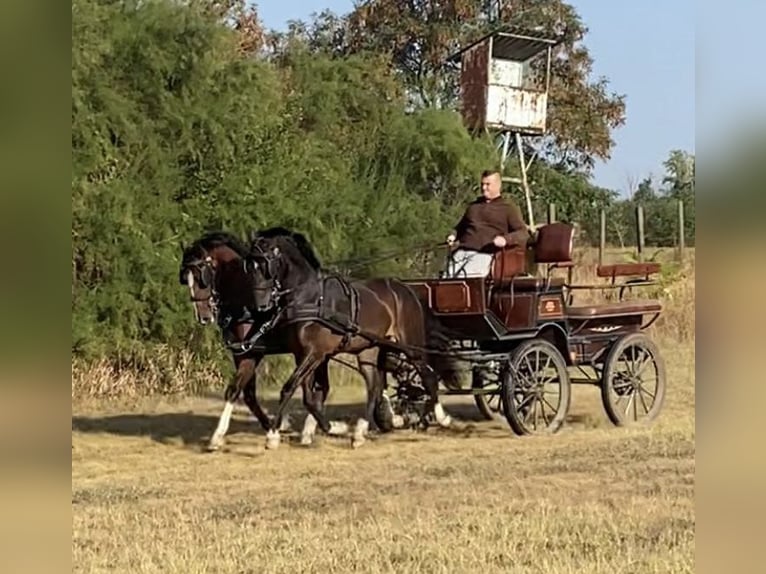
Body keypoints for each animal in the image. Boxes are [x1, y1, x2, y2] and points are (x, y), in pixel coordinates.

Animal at [249, 227, 460, 452]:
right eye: (250, 265)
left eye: (266, 263)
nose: (260, 305)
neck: (311, 298)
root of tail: (405, 289)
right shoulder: (304, 355)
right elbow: (309, 397)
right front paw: (331, 428)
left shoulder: (315, 354)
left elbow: (290, 388)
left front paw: (273, 435)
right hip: (369, 350)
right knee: (374, 387)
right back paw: (360, 433)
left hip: (411, 345)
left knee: (428, 377)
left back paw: (442, 418)